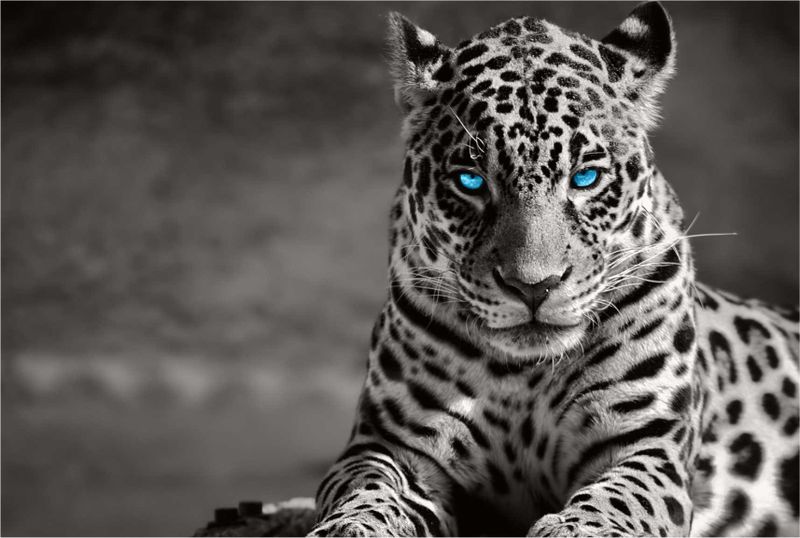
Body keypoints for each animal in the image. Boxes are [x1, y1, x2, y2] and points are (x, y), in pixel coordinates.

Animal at [305, 2, 800, 536]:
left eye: (586, 177)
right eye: (470, 181)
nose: (533, 287)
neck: (525, 376)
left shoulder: (647, 444)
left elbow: (618, 498)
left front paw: (575, 527)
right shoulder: (389, 443)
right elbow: (366, 490)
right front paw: (350, 525)